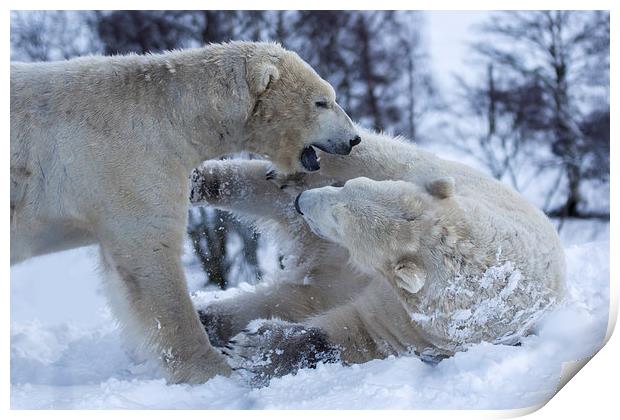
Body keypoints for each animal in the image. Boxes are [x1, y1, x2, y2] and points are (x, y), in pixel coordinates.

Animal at [9, 40, 360, 384]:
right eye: (321, 102)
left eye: (329, 97)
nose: (354, 138)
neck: (170, 115)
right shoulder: (127, 161)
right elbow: (151, 256)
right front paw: (214, 369)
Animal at [193, 124, 568, 384]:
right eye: (347, 188)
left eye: (339, 220)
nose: (303, 204)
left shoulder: (427, 324)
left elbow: (359, 334)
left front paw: (254, 348)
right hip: (421, 169)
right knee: (360, 157)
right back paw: (210, 180)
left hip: (325, 263)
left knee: (287, 294)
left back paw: (207, 318)